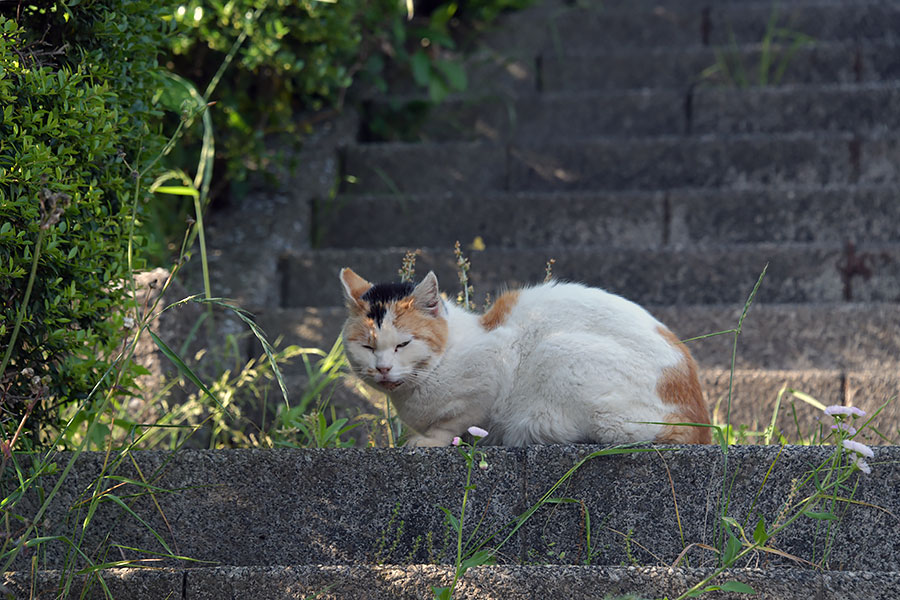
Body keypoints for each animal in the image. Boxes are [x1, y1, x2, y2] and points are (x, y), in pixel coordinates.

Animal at [338, 268, 712, 446]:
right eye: (367, 347)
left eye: (403, 344)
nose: (383, 368)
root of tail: (700, 424)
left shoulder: (494, 369)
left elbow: (455, 421)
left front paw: (430, 440)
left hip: (558, 352)